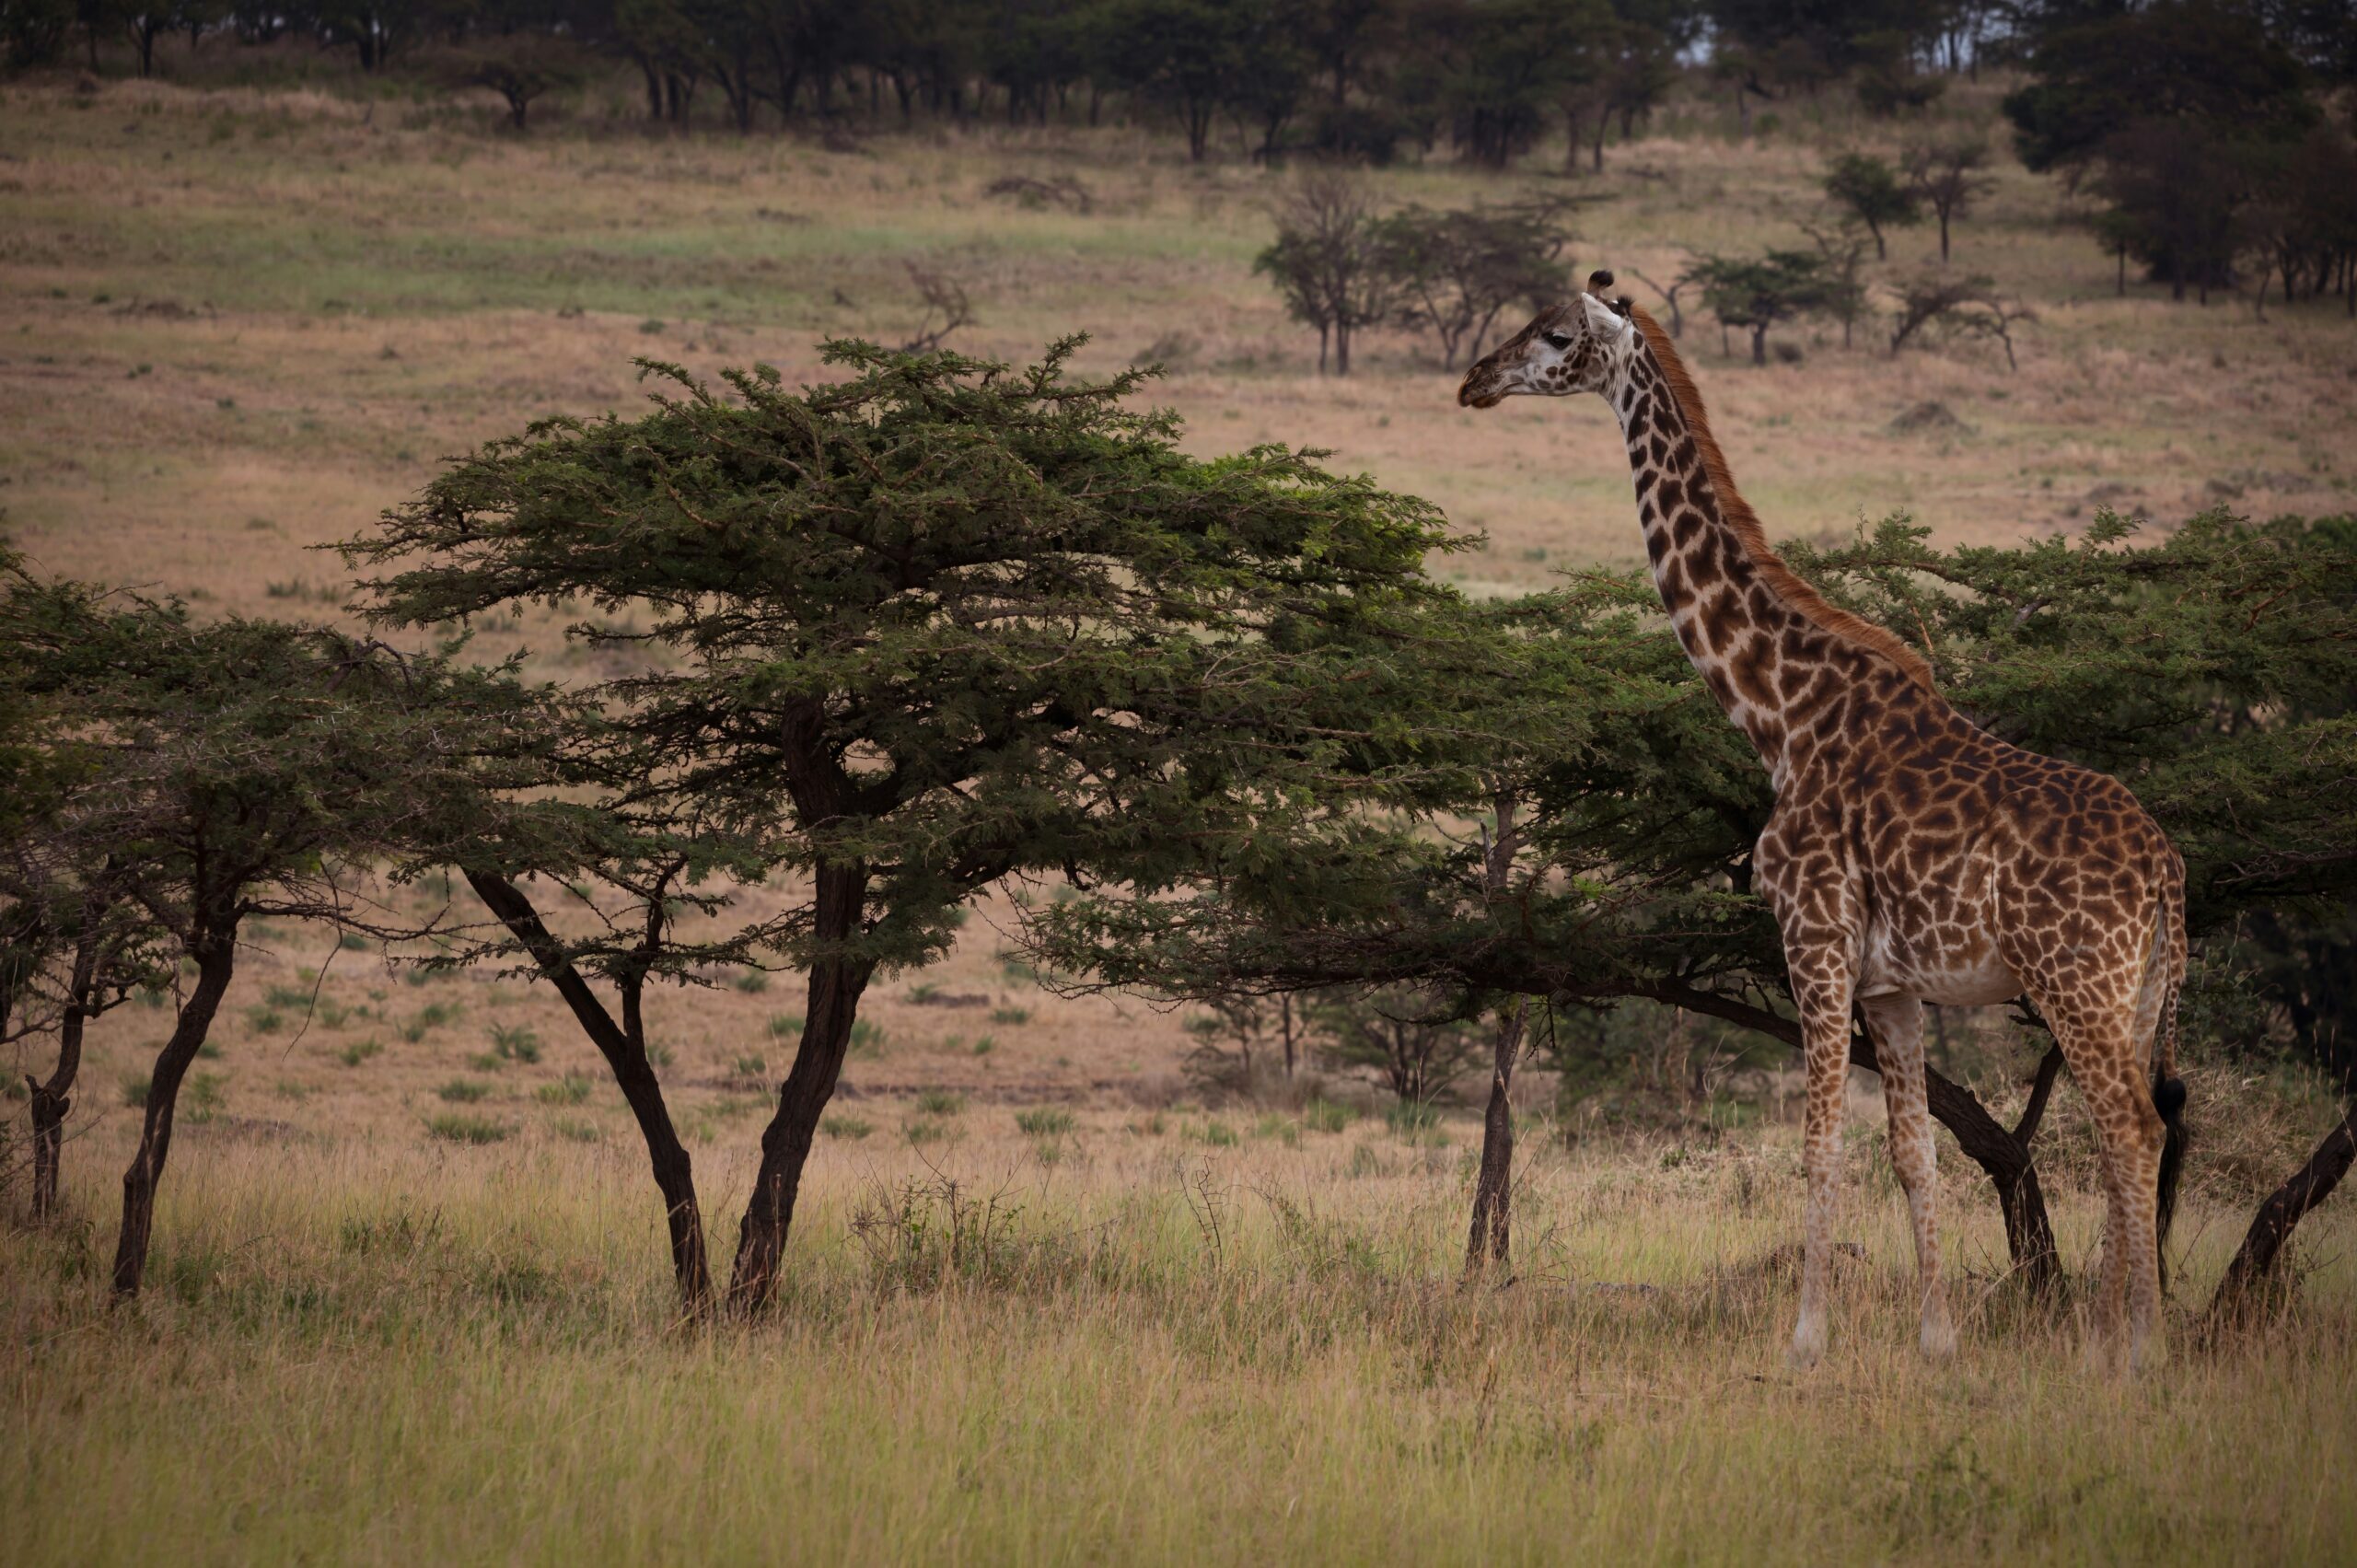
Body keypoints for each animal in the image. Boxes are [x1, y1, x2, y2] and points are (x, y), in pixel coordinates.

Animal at [1451, 274, 2187, 1367]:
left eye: (1552, 334)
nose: (1473, 379)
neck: (1778, 716)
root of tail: (2167, 872)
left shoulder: (1813, 938)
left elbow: (1818, 1144)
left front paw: (1804, 1338)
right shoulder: (1892, 982)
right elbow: (1914, 1151)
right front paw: (1936, 1340)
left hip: (2075, 980)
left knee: (2133, 1129)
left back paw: (2137, 1351)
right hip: (2136, 992)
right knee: (2122, 1132)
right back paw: (2110, 1338)